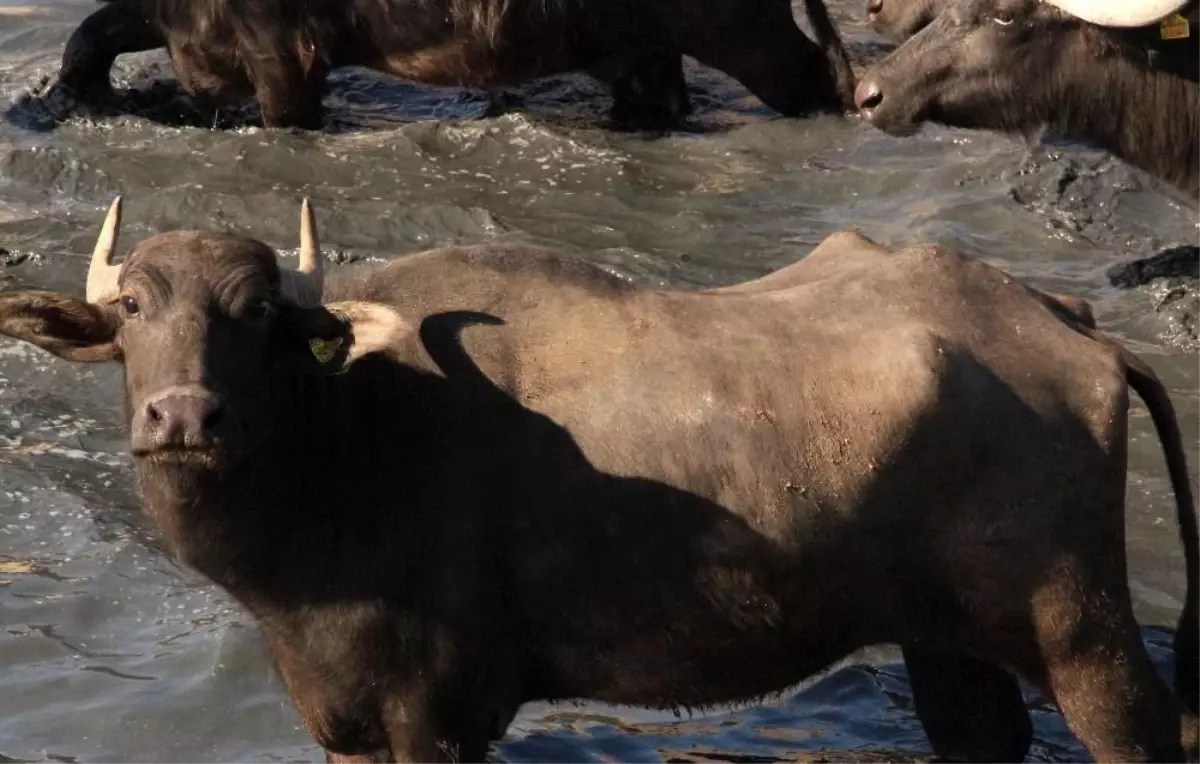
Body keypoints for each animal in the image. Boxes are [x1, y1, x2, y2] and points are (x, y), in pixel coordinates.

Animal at [2, 197, 1200, 762]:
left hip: (1077, 627)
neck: (346, 447)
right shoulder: (340, 721)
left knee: (1148, 731)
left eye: (258, 315)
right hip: (948, 638)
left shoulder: (439, 717)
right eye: (135, 309)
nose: (183, 416)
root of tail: (1071, 328)